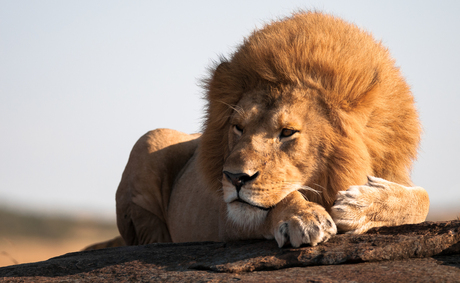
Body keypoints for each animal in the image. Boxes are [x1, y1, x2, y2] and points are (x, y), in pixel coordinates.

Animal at [113, 11, 430, 248]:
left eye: (287, 132)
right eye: (238, 127)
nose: (235, 177)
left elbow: (422, 199)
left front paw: (362, 204)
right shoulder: (227, 216)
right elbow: (278, 199)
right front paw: (303, 217)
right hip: (150, 139)